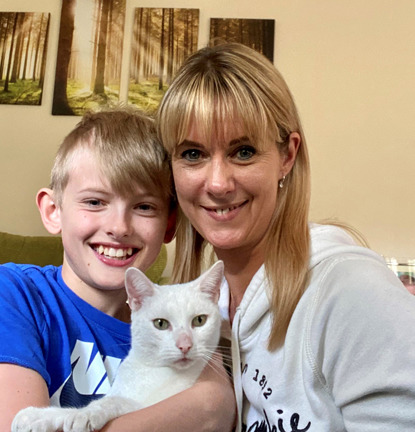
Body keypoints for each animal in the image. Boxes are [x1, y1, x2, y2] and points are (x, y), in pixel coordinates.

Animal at [12, 260, 224, 432]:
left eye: (199, 320)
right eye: (161, 324)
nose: (185, 345)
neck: (151, 370)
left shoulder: (153, 406)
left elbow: (115, 401)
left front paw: (84, 414)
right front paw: (36, 415)